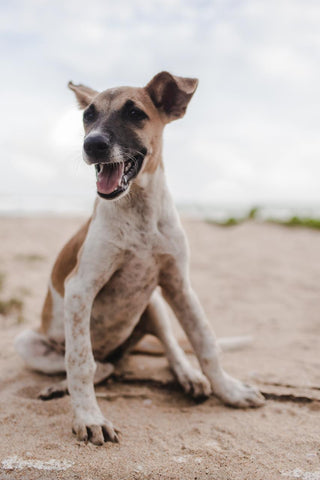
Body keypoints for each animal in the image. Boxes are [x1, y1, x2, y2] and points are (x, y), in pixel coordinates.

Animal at [15, 72, 264, 446]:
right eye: (88, 115)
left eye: (135, 113)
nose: (92, 145)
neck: (139, 210)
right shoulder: (79, 288)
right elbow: (80, 362)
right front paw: (89, 417)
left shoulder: (179, 285)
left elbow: (205, 343)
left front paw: (229, 390)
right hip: (28, 342)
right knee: (99, 366)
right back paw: (61, 386)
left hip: (154, 304)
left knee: (169, 351)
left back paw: (189, 377)